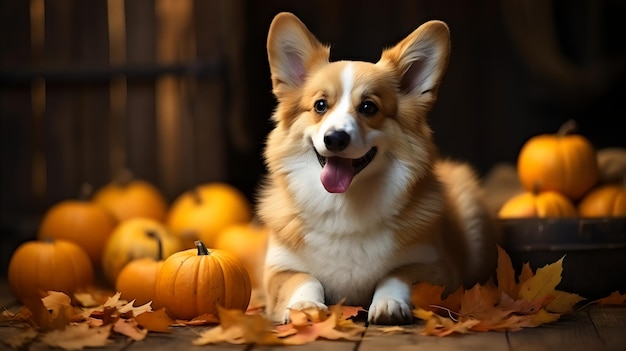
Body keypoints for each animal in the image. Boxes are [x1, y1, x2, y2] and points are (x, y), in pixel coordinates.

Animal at [256, 13, 494, 328]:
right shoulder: (278, 270)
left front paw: (389, 304)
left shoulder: (434, 267)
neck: (344, 207)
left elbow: (395, 276)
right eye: (320, 105)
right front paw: (305, 307)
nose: (335, 138)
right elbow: (305, 279)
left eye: (369, 107)